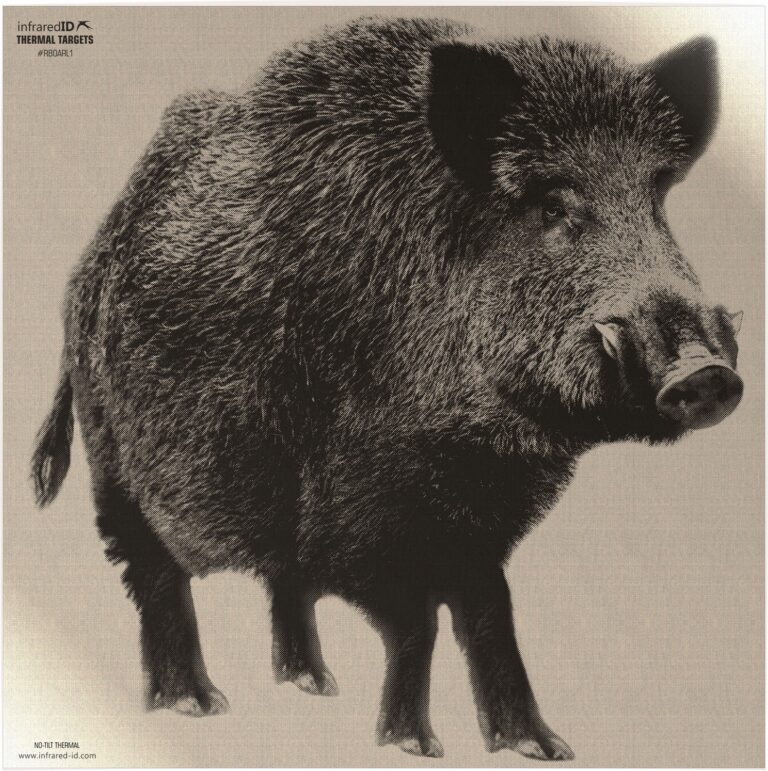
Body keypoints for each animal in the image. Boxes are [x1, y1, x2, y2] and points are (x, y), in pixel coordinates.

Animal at [31, 17, 743, 760]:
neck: (477, 443)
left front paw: (541, 749)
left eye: (657, 198)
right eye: (553, 204)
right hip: (114, 457)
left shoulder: (478, 517)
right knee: (153, 574)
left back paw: (314, 685)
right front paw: (414, 746)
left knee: (281, 583)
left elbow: (489, 613)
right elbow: (417, 623)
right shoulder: (368, 506)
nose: (704, 372)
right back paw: (196, 705)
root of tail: (87, 266)